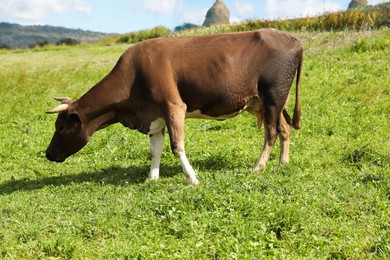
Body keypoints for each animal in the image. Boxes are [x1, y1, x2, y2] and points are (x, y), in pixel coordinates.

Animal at [45, 28, 302, 185]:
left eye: (60, 128)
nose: (48, 154)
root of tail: (290, 38)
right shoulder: (154, 116)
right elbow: (155, 149)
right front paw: (152, 177)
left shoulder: (174, 106)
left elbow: (177, 146)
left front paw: (192, 178)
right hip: (268, 101)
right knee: (284, 128)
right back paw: (283, 162)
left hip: (272, 95)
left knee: (270, 132)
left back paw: (258, 167)